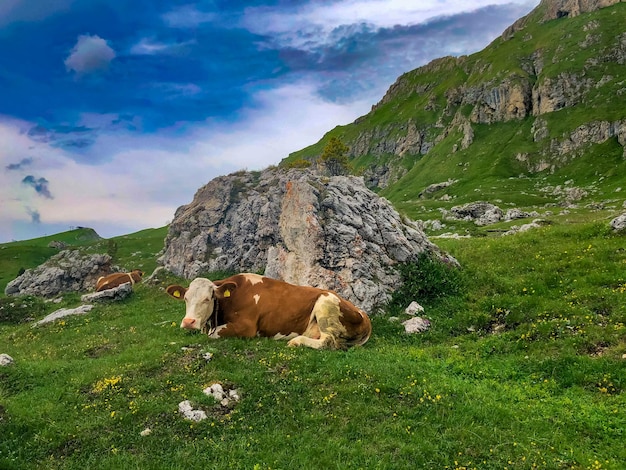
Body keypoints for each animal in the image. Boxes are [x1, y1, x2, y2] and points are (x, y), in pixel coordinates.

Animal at [166, 272, 370, 348]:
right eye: (185, 298)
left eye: (207, 299)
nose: (188, 322)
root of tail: (363, 314)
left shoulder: (247, 327)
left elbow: (211, 335)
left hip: (325, 303)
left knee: (327, 341)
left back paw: (296, 341)